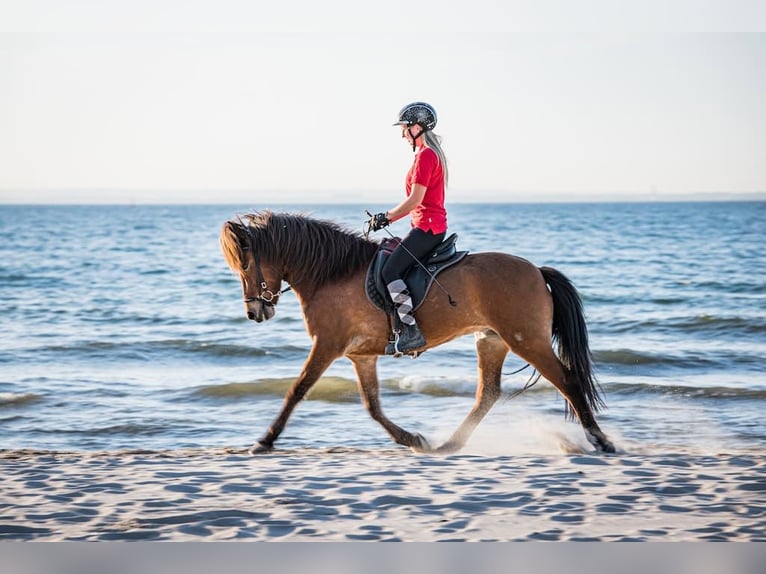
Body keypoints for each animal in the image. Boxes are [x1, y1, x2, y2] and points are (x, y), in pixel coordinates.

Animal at [220, 209, 616, 456]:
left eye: (245, 265)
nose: (254, 312)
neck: (331, 274)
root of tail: (536, 270)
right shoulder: (360, 355)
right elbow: (372, 405)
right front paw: (413, 438)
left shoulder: (327, 345)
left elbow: (297, 390)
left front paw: (265, 441)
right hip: (492, 341)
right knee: (487, 394)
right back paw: (450, 445)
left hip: (527, 339)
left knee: (567, 380)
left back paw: (600, 440)